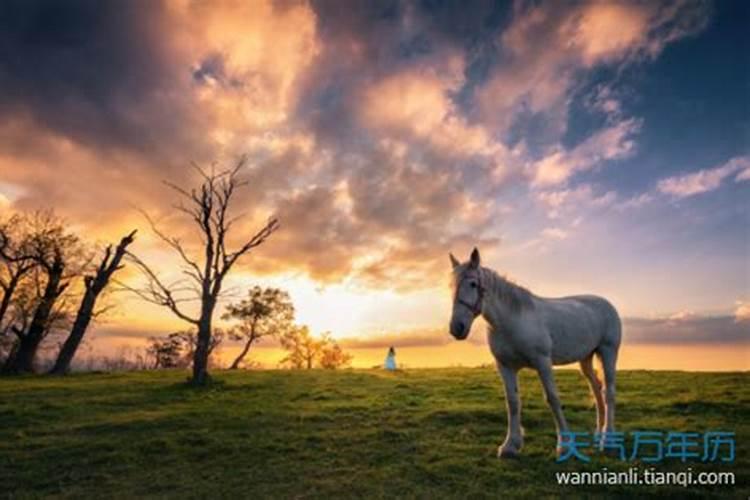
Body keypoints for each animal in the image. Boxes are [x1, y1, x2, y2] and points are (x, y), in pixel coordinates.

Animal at [452, 248, 624, 458]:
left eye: (473, 284)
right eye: (451, 286)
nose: (457, 328)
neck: (513, 320)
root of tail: (606, 304)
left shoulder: (542, 362)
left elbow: (552, 398)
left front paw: (564, 445)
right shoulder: (505, 366)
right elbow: (512, 402)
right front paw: (510, 445)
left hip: (608, 352)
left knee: (609, 392)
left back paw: (608, 440)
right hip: (586, 359)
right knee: (596, 388)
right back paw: (599, 433)